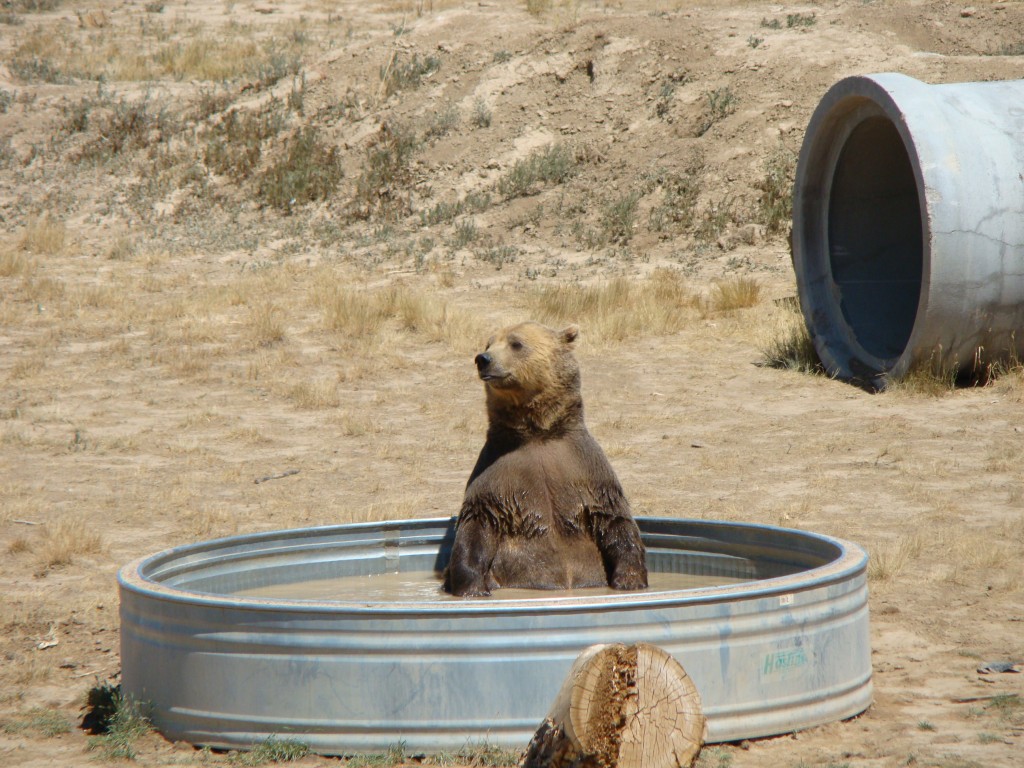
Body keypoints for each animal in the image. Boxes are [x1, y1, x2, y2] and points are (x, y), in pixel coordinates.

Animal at [442, 321, 647, 598]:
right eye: (488, 343)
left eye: (516, 343)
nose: (483, 359)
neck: (538, 433)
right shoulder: (497, 473)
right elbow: (478, 522)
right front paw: (472, 588)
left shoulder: (584, 468)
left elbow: (614, 519)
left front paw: (630, 580)